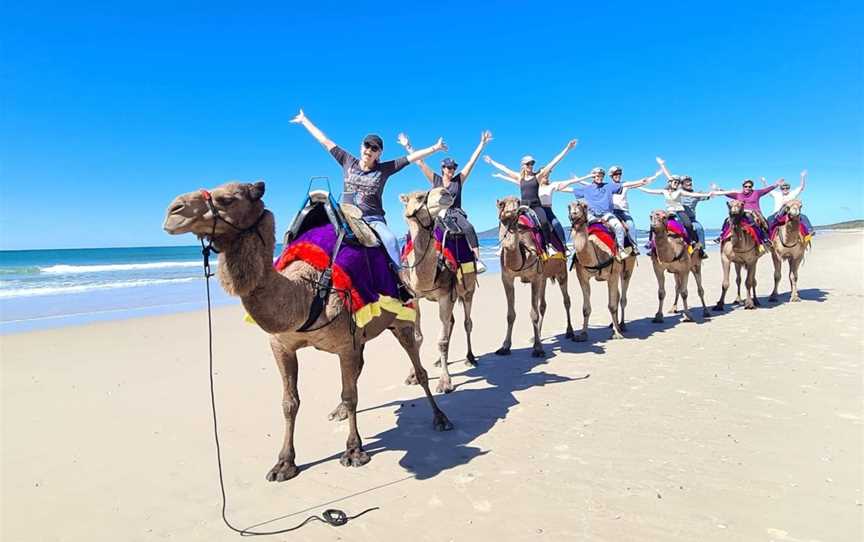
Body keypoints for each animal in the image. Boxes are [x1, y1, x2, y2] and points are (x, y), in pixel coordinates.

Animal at [165, 183, 456, 484]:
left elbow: (351, 395)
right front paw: (284, 463)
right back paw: (338, 412)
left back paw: (440, 417)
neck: (307, 289)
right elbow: (289, 402)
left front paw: (354, 451)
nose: (173, 210)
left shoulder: (346, 345)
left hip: (401, 319)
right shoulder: (281, 345)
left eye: (227, 199)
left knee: (417, 364)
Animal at [400, 188, 476, 396]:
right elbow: (417, 338)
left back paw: (470, 357)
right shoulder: (414, 297)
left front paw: (445, 382)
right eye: (418, 197)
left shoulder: (445, 295)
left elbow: (441, 341)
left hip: (468, 290)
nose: (445, 192)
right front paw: (412, 375)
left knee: (467, 322)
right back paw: (439, 360)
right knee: (450, 322)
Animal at [496, 198, 572, 360]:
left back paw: (570, 332)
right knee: (543, 305)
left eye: (517, 201)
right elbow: (510, 314)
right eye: (501, 204)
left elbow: (533, 313)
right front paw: (505, 346)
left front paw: (538, 349)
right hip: (544, 277)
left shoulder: (534, 278)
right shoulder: (507, 278)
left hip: (561, 271)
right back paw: (538, 335)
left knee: (566, 300)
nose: (514, 209)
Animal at [572, 202, 636, 342]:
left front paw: (617, 334)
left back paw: (621, 325)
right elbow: (586, 308)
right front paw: (582, 334)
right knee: (617, 296)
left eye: (584, 206)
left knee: (622, 297)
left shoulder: (613, 274)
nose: (574, 214)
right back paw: (613, 324)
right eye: (569, 206)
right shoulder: (582, 276)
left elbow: (612, 305)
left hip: (627, 268)